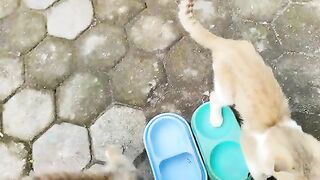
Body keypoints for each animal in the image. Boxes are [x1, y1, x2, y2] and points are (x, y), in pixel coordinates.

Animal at [178, 0, 320, 179]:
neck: (276, 127)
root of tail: (227, 43)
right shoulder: (251, 154)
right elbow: (259, 174)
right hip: (227, 91)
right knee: (215, 97)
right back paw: (216, 120)